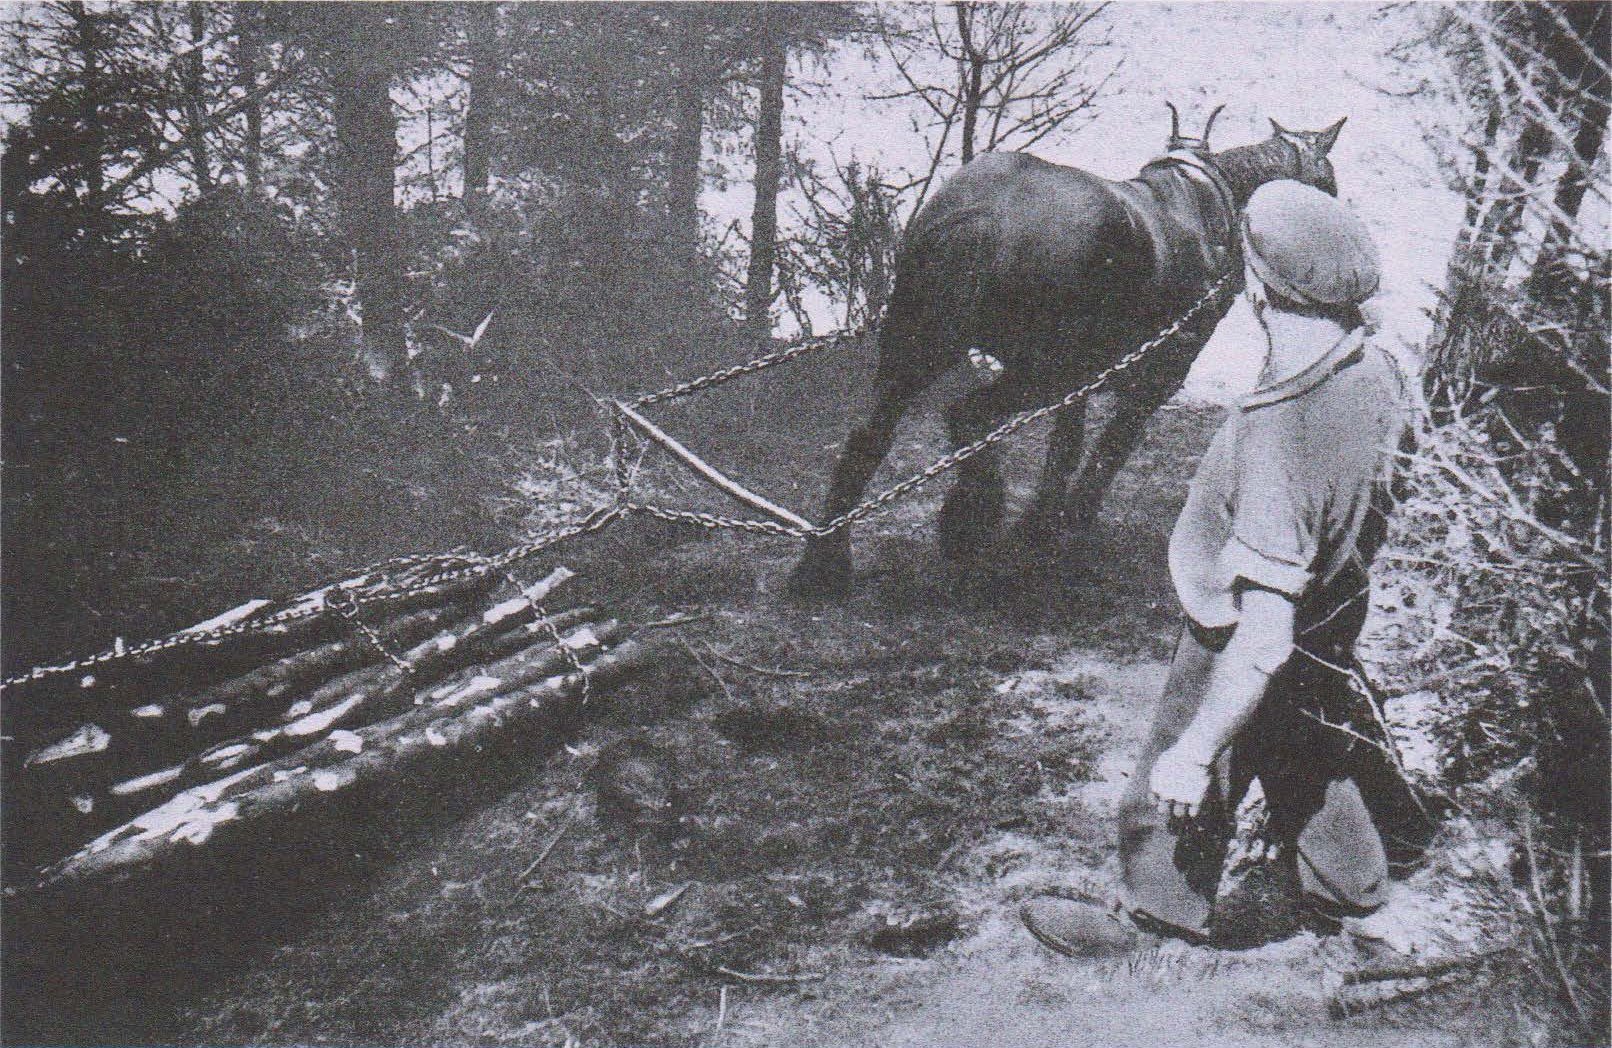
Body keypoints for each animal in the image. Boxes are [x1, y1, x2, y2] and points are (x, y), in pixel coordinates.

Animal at [787, 108, 1348, 599]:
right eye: (1329, 184)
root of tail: (987, 210)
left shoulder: (1087, 372)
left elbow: (1067, 444)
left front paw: (1044, 523)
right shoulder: (1154, 373)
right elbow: (1104, 450)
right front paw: (1060, 526)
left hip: (917, 344)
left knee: (871, 437)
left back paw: (825, 562)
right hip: (1038, 368)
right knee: (970, 413)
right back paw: (975, 521)